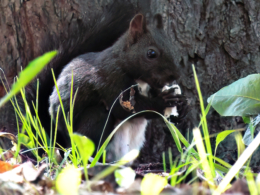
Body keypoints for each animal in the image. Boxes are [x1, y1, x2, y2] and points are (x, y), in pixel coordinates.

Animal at [48, 12, 187, 161]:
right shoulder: (111, 79)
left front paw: (182, 107)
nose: (176, 75)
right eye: (151, 53)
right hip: (90, 125)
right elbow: (126, 110)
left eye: (173, 48)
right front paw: (164, 101)